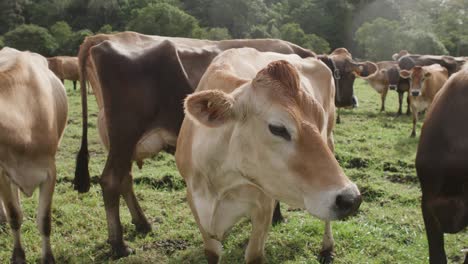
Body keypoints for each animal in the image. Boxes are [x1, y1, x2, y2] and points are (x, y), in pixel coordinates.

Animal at [0, 47, 68, 264]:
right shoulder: (3, 172)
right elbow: (15, 215)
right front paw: (18, 256)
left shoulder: (50, 171)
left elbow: (44, 220)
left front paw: (48, 257)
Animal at [72, 31, 322, 258]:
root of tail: (103, 38)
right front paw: (278, 216)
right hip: (124, 134)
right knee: (111, 181)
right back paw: (118, 244)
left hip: (121, 143)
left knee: (125, 179)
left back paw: (142, 224)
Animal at [176, 48, 362, 264]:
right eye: (277, 128)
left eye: (320, 120)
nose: (351, 198)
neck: (220, 180)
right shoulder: (195, 200)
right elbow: (212, 253)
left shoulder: (262, 204)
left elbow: (254, 255)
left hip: (330, 139)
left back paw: (327, 247)